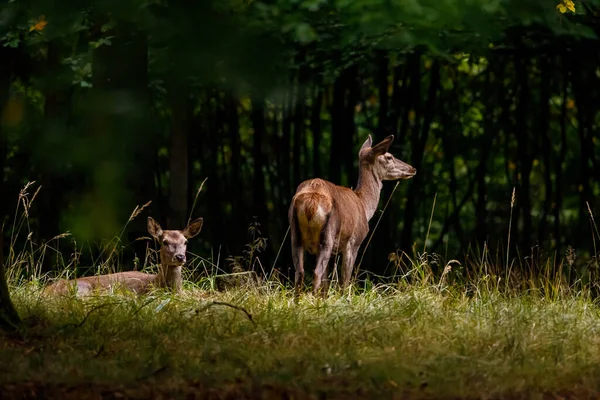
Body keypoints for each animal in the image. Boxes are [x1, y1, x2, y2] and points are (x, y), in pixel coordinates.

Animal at [41, 216, 204, 296]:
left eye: (185, 241)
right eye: (165, 242)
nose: (180, 257)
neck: (157, 283)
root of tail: (46, 292)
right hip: (81, 287)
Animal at [290, 136, 418, 296]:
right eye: (389, 157)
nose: (412, 168)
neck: (363, 205)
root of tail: (311, 202)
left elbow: (327, 284)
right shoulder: (354, 242)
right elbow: (345, 282)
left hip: (295, 232)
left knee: (300, 272)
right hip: (328, 235)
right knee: (316, 272)